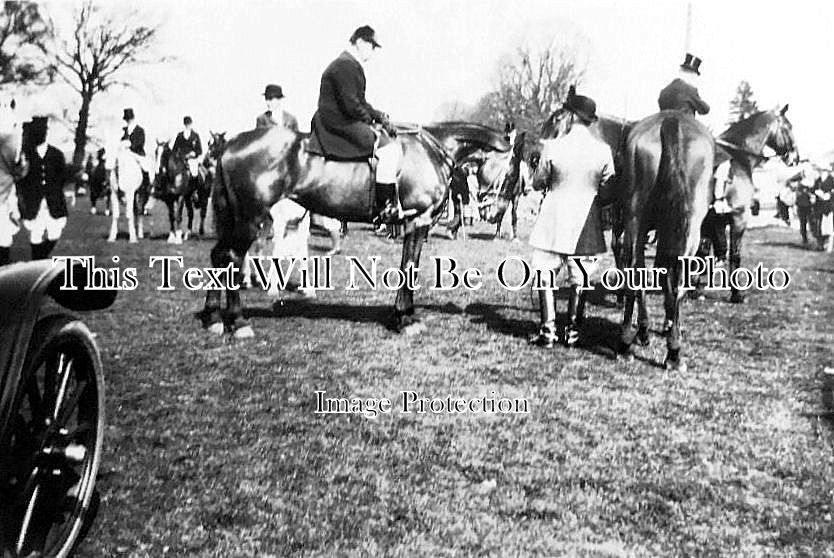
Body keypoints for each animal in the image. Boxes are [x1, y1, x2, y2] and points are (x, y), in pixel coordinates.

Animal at [202, 124, 456, 340]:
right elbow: (409, 266)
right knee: (233, 257)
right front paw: (405, 318)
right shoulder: (418, 220)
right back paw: (239, 322)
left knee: (219, 255)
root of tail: (233, 144)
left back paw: (213, 317)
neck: (429, 152)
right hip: (249, 220)